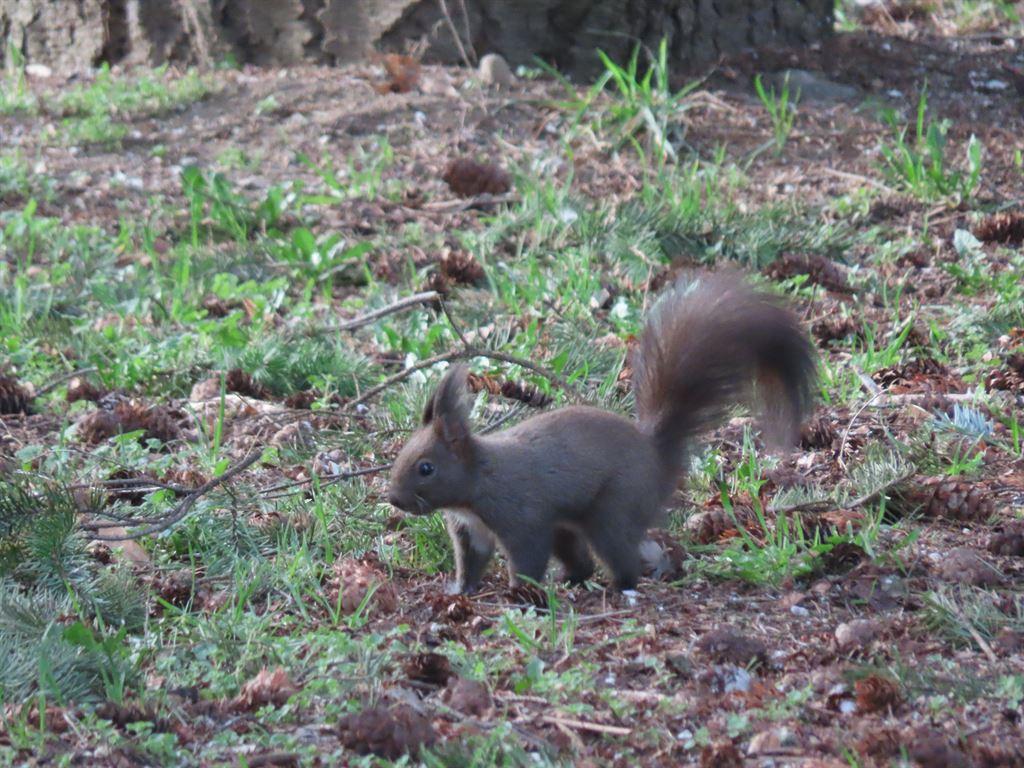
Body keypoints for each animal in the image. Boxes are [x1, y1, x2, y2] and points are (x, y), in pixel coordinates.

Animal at [387, 272, 817, 594]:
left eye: (426, 468)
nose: (393, 499)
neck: (477, 481)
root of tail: (655, 453)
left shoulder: (521, 516)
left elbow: (527, 556)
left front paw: (520, 592)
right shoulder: (469, 532)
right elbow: (471, 563)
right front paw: (460, 590)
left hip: (613, 510)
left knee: (618, 553)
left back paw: (619, 585)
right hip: (571, 525)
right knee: (582, 560)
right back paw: (573, 580)